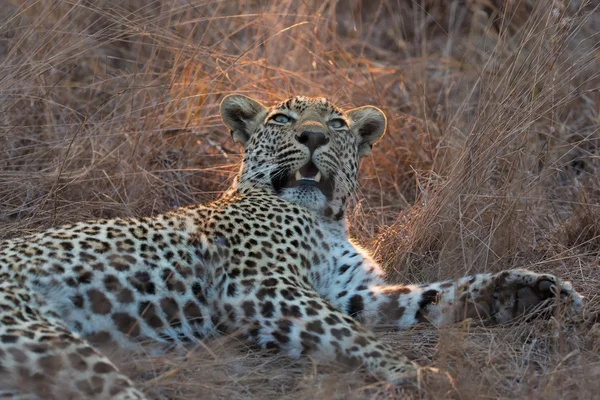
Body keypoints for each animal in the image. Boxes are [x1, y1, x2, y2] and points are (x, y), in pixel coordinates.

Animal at [0, 93, 580, 396]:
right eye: (283, 119)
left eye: (337, 124)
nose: (313, 137)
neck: (325, 220)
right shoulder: (260, 285)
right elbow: (352, 334)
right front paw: (415, 372)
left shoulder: (349, 292)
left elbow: (433, 295)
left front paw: (528, 291)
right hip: (49, 342)